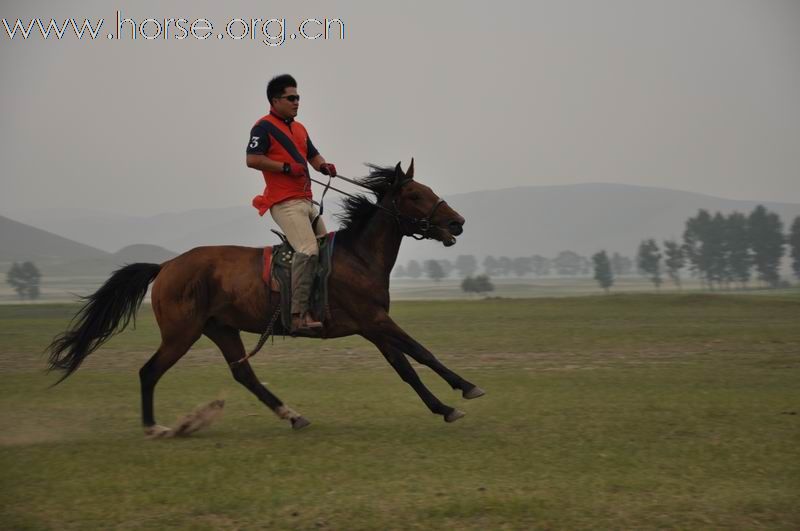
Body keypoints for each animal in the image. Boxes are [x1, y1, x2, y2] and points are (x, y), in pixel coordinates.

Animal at [51, 162, 488, 436]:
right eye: (414, 194)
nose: (457, 222)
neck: (358, 256)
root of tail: (167, 265)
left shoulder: (373, 327)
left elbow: (406, 368)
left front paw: (444, 408)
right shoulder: (376, 321)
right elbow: (422, 353)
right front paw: (467, 388)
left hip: (221, 329)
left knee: (244, 374)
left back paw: (292, 415)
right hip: (181, 334)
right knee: (148, 372)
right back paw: (154, 427)